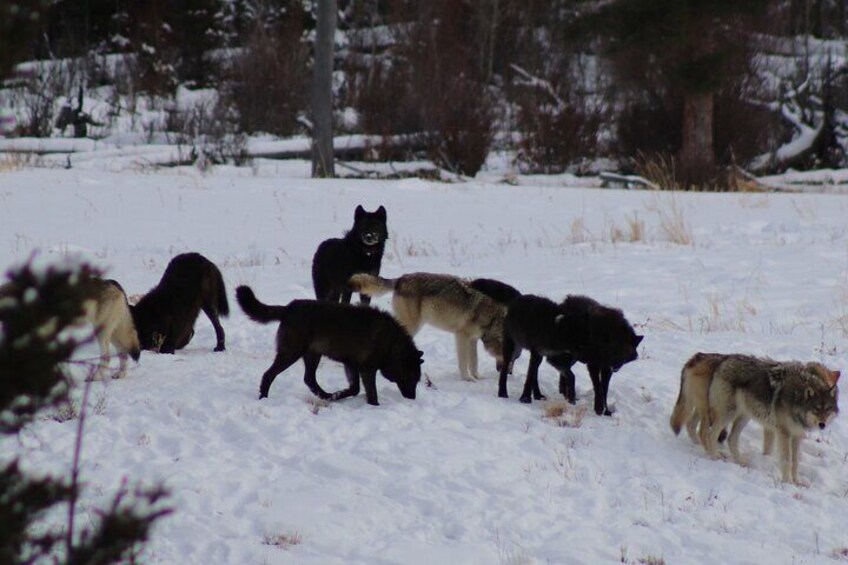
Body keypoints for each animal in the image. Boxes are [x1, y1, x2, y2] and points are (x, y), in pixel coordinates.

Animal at [0, 276, 141, 376]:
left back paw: (95, 377)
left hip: (101, 333)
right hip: (113, 335)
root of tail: (113, 283)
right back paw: (120, 374)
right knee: (123, 354)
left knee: (106, 358)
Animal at [235, 286, 424, 406]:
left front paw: (337, 396)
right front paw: (374, 406)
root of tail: (289, 307)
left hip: (312, 355)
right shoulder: (367, 370)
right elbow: (371, 393)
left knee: (309, 379)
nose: (412, 398)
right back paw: (263, 397)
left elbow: (354, 389)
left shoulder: (351, 365)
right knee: (269, 375)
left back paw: (325, 395)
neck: (392, 344)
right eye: (412, 378)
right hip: (290, 353)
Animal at [344, 270, 504, 382]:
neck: (492, 317)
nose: (502, 371)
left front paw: (477, 376)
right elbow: (464, 361)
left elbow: (474, 361)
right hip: (412, 326)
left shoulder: (473, 339)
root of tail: (400, 279)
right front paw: (467, 378)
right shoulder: (461, 336)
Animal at [496, 294, 644, 416]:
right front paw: (598, 409)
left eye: (624, 354)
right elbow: (598, 387)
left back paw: (563, 393)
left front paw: (606, 410)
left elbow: (604, 389)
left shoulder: (606, 368)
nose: (617, 366)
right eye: (614, 350)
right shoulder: (593, 365)